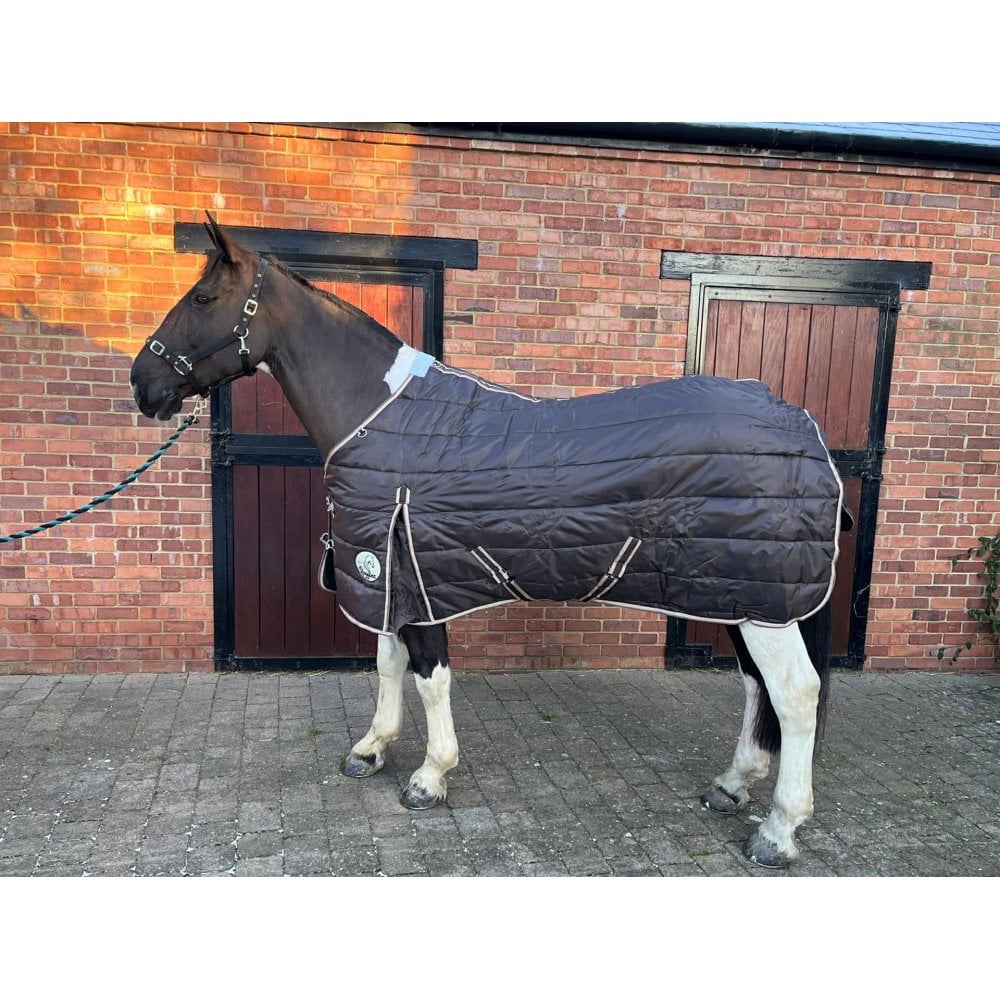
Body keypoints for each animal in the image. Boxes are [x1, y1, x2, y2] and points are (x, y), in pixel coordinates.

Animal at [130, 215, 848, 869]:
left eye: (202, 298)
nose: (143, 383)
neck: (379, 417)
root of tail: (802, 429)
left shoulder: (413, 576)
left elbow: (429, 678)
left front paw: (429, 777)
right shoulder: (385, 574)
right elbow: (387, 665)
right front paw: (371, 749)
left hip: (761, 601)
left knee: (795, 694)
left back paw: (779, 830)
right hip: (739, 592)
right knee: (757, 687)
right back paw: (731, 786)